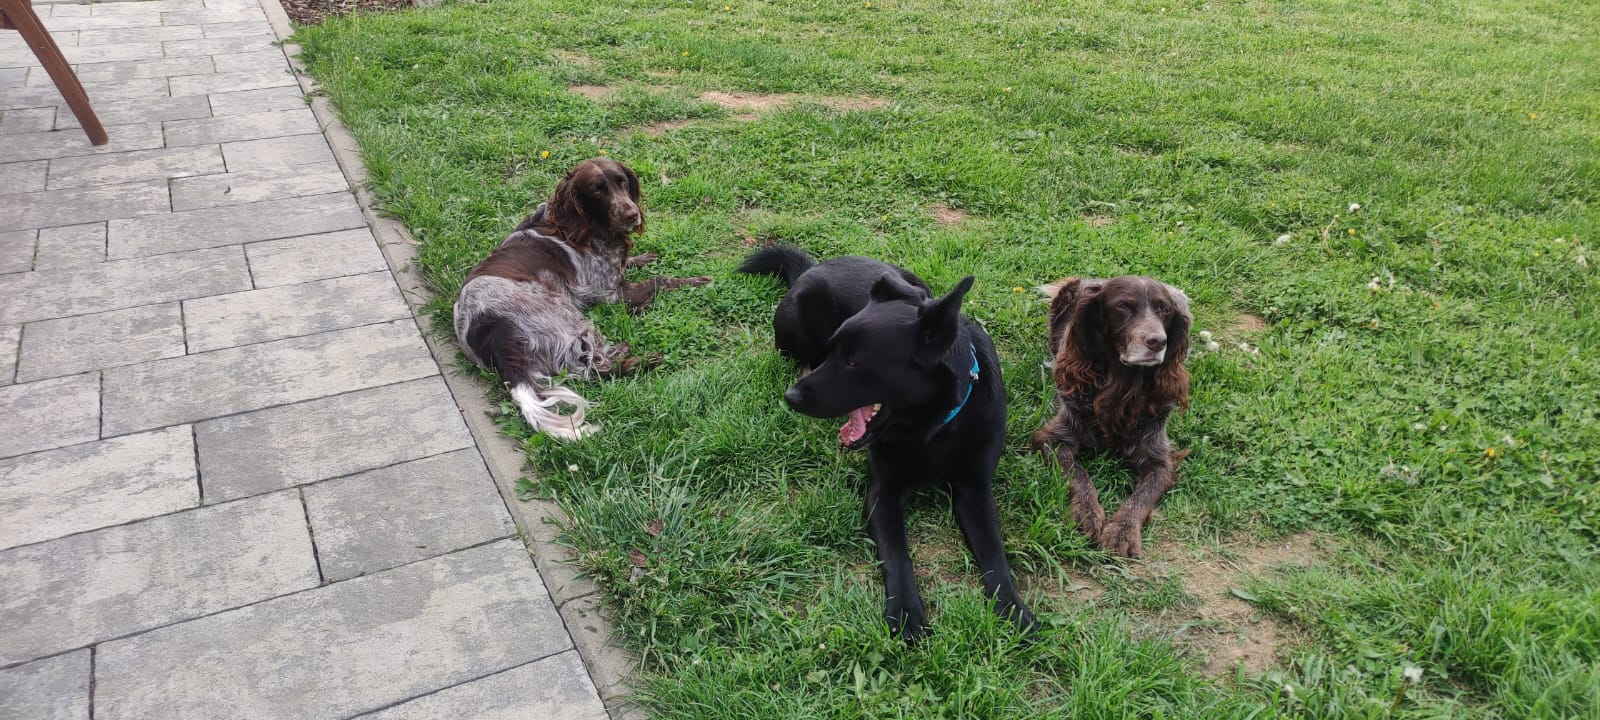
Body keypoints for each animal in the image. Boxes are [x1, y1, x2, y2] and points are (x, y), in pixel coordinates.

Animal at [453, 157, 710, 440]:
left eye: (622, 181)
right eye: (598, 191)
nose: (632, 214)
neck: (579, 227)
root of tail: (495, 334)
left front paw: (642, 258)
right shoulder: (611, 294)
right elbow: (659, 280)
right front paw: (696, 280)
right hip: (567, 317)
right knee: (595, 369)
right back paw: (641, 359)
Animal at [740, 244, 1036, 642]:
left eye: (853, 361)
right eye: (836, 352)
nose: (792, 397)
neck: (931, 428)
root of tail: (813, 268)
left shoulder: (975, 489)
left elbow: (994, 554)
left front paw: (1014, 609)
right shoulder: (883, 491)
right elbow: (896, 553)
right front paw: (906, 611)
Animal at [1031, 276, 1192, 558]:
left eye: (1164, 311)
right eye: (1123, 307)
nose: (1157, 341)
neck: (1122, 391)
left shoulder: (1160, 460)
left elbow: (1142, 497)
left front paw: (1122, 531)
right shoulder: (1054, 438)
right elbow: (1079, 476)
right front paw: (1088, 515)